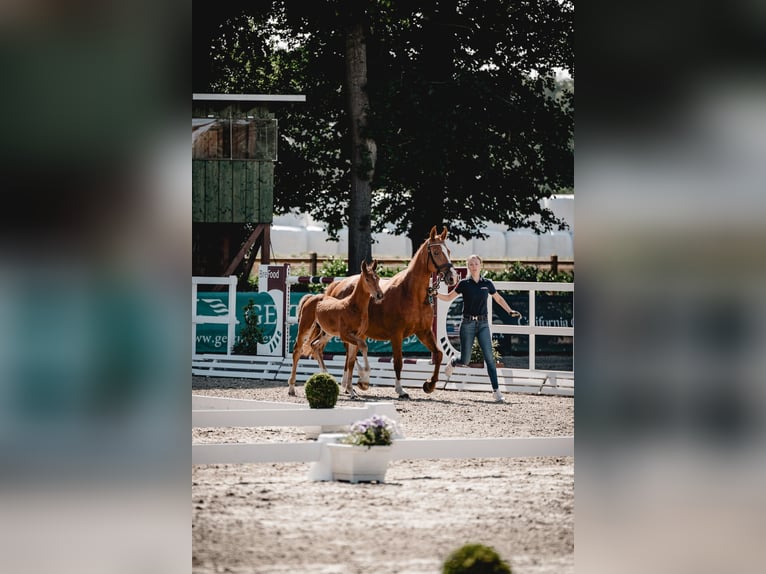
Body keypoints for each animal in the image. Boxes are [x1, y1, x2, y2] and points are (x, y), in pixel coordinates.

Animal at [287, 259, 384, 397]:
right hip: (305, 327)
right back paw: (291, 388)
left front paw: (351, 390)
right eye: (367, 279)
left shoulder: (357, 336)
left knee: (315, 345)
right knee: (297, 350)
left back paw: (327, 375)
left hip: (327, 333)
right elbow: (363, 347)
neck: (353, 307)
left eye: (378, 278)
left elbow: (351, 361)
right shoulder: (346, 335)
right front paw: (363, 380)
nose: (379, 295)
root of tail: (311, 297)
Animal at [312, 225, 458, 399]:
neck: (410, 293)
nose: (452, 277)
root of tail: (338, 285)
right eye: (436, 252)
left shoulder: (424, 332)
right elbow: (398, 362)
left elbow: (438, 354)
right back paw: (355, 382)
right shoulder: (397, 335)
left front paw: (429, 384)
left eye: (448, 251)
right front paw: (400, 390)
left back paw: (349, 386)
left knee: (348, 356)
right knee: (345, 354)